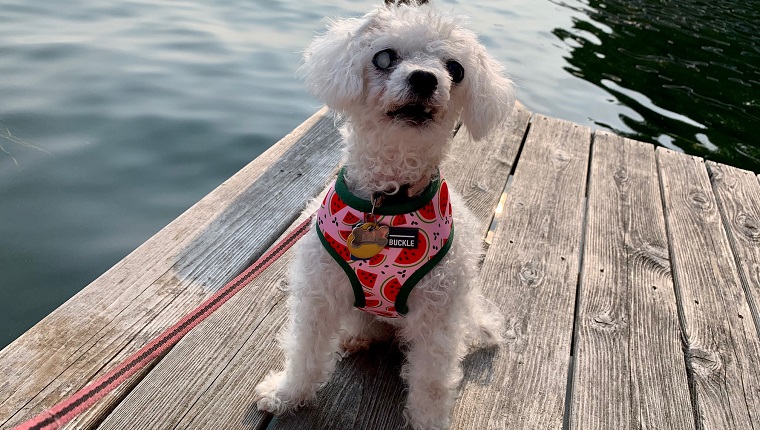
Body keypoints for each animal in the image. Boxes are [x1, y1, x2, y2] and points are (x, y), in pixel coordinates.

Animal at [254, 1, 510, 428]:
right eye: (384, 57)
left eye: (455, 69)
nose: (425, 79)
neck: (386, 200)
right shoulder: (319, 291)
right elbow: (306, 351)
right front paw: (286, 394)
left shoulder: (438, 315)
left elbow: (432, 381)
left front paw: (429, 421)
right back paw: (356, 335)